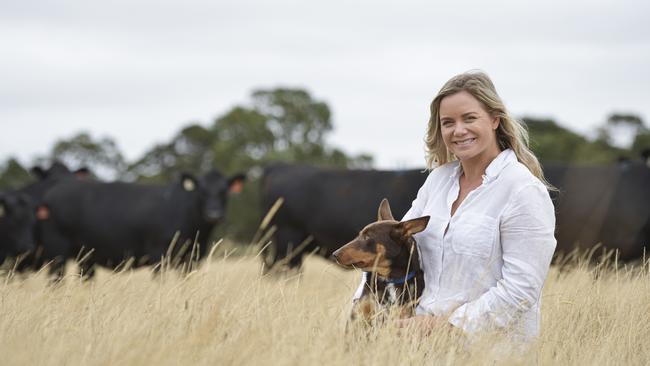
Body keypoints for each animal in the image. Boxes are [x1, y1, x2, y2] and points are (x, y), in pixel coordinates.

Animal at [41, 170, 243, 278]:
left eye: (224, 191)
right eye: (202, 192)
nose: (214, 214)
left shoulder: (191, 258)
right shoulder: (158, 254)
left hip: (85, 256)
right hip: (57, 250)